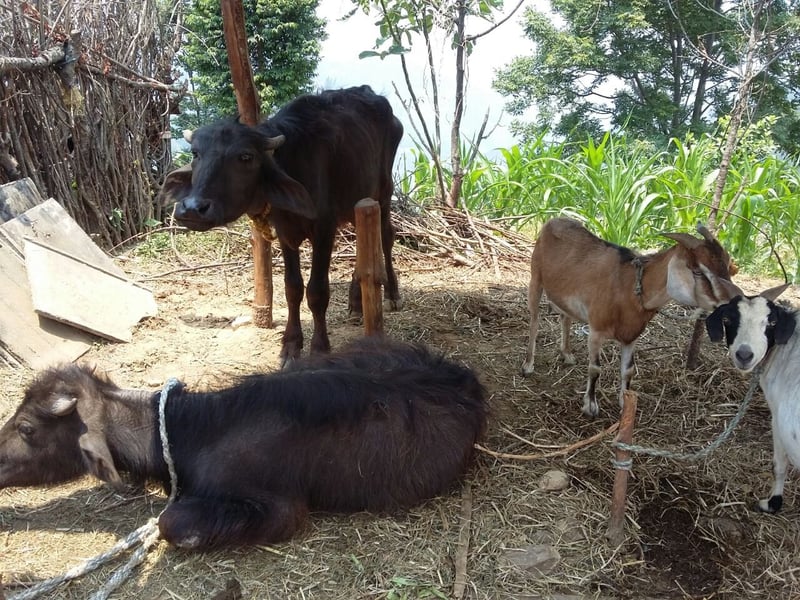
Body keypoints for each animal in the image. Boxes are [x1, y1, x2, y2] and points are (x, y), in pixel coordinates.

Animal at [520, 218, 740, 420]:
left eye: (727, 267)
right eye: (697, 271)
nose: (732, 300)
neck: (629, 289)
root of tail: (553, 221)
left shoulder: (631, 336)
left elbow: (628, 370)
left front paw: (624, 402)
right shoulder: (596, 330)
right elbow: (595, 368)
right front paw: (590, 406)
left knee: (565, 317)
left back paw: (567, 354)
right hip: (535, 279)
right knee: (534, 320)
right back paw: (528, 365)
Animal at [708, 284, 800, 512]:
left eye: (772, 322)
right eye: (727, 319)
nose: (744, 355)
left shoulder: (778, 422)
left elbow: (779, 465)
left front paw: (772, 503)